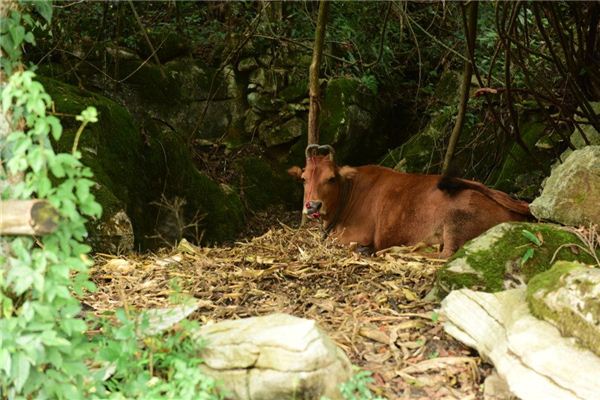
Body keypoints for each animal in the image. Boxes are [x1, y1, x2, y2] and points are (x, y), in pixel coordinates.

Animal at [288, 145, 532, 258]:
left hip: (456, 222)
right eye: (303, 179)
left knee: (443, 255)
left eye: (331, 178)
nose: (312, 205)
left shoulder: (356, 235)